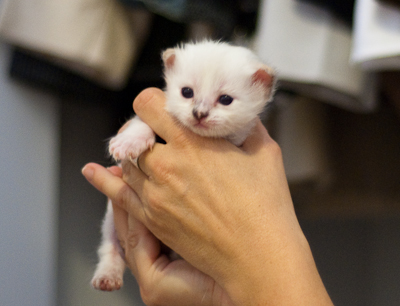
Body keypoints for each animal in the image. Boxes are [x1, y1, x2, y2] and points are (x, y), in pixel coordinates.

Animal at [92, 40, 276, 292]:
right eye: (187, 92)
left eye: (226, 99)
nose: (199, 113)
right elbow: (142, 123)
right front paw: (130, 141)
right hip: (111, 219)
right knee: (110, 246)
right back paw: (107, 274)